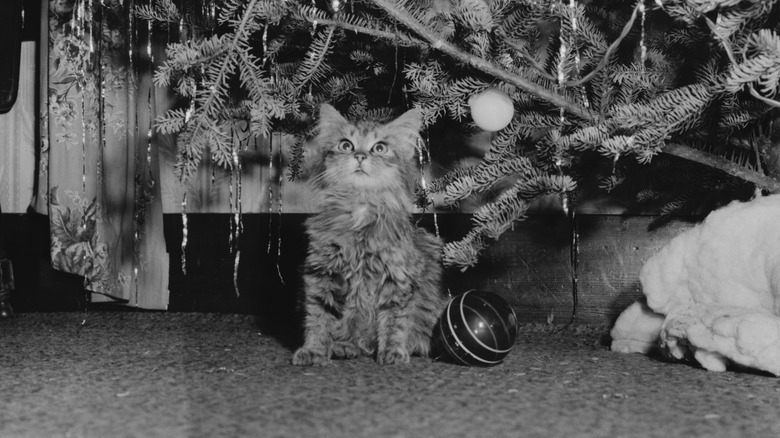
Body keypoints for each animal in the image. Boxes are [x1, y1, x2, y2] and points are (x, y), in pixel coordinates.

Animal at [292, 103, 448, 366]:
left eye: (380, 148)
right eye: (346, 145)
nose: (360, 156)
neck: (360, 208)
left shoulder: (397, 276)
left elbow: (394, 321)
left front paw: (393, 352)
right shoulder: (322, 270)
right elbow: (319, 317)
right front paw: (313, 350)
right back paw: (343, 347)